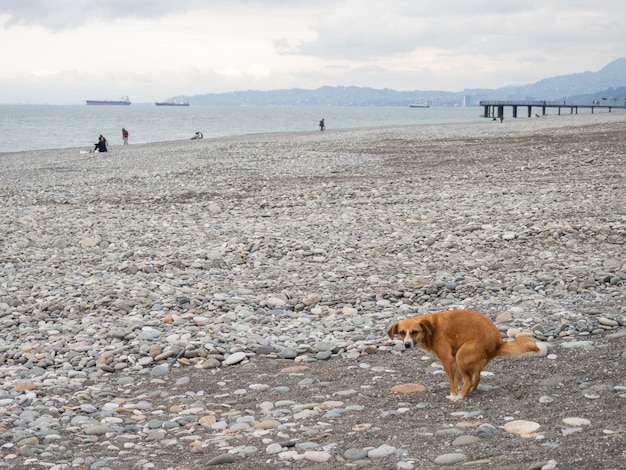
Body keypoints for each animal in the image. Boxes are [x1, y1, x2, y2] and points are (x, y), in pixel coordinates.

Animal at [386, 308, 540, 400]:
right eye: (401, 333)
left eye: (414, 332)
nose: (407, 345)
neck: (431, 329)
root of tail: (498, 342)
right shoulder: (453, 359)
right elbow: (457, 378)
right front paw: (458, 387)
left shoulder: (448, 359)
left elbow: (452, 381)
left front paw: (454, 394)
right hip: (466, 359)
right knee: (476, 378)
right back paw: (471, 390)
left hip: (462, 356)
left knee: (469, 380)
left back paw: (460, 396)